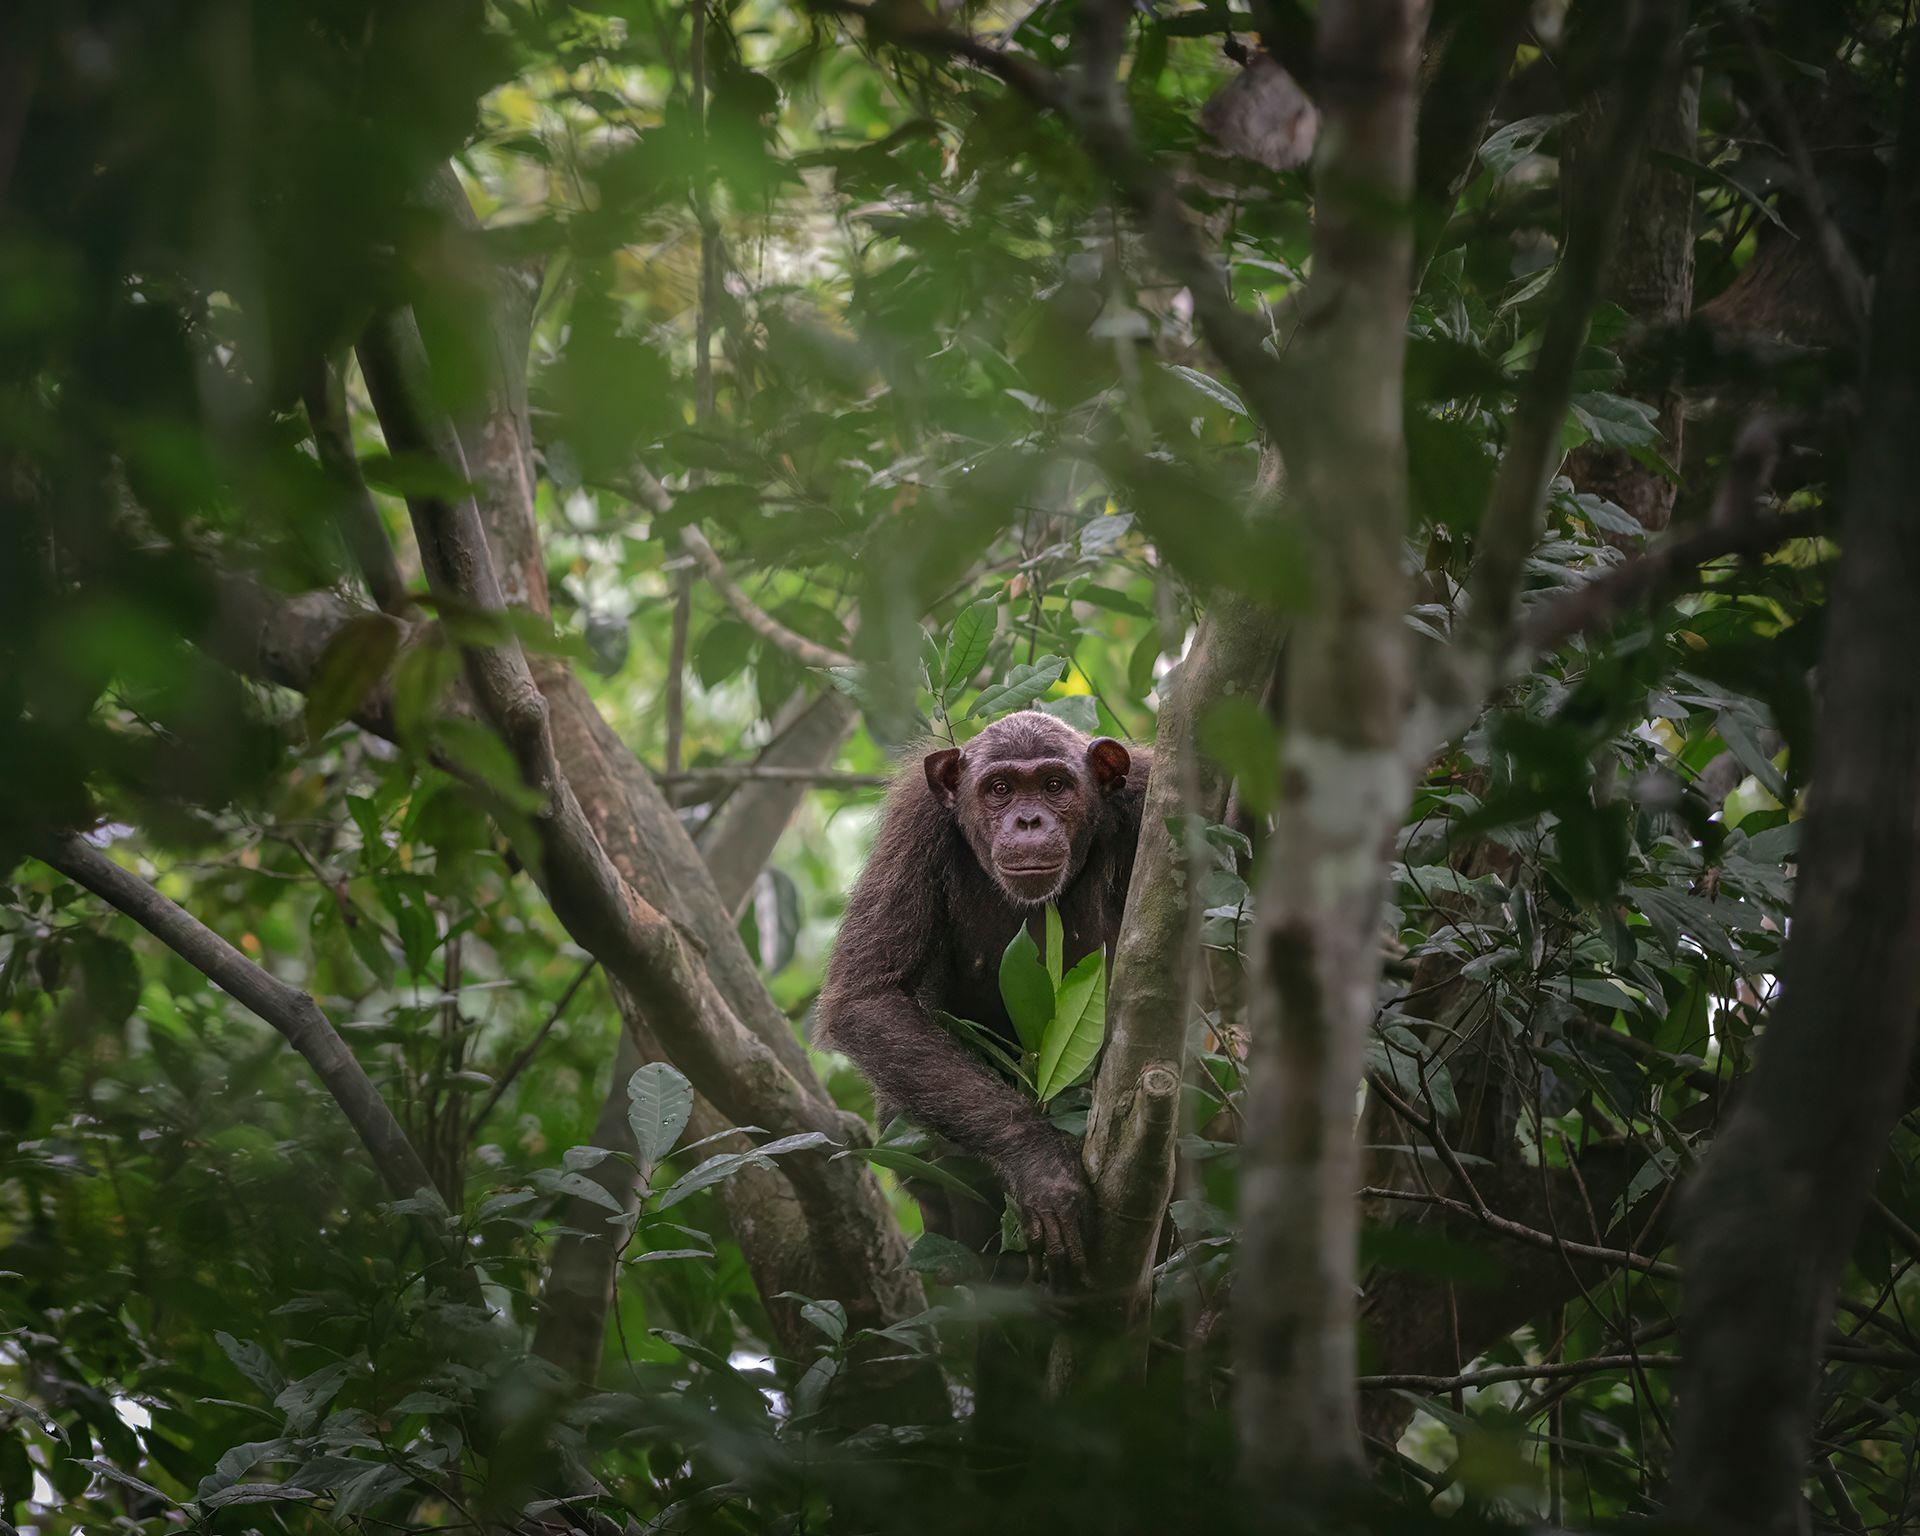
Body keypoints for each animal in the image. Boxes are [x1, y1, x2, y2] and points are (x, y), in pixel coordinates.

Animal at [817, 714, 1144, 1274]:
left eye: (1054, 785)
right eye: (1000, 789)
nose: (1029, 821)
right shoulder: (915, 824)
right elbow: (868, 996)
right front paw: (1041, 1165)